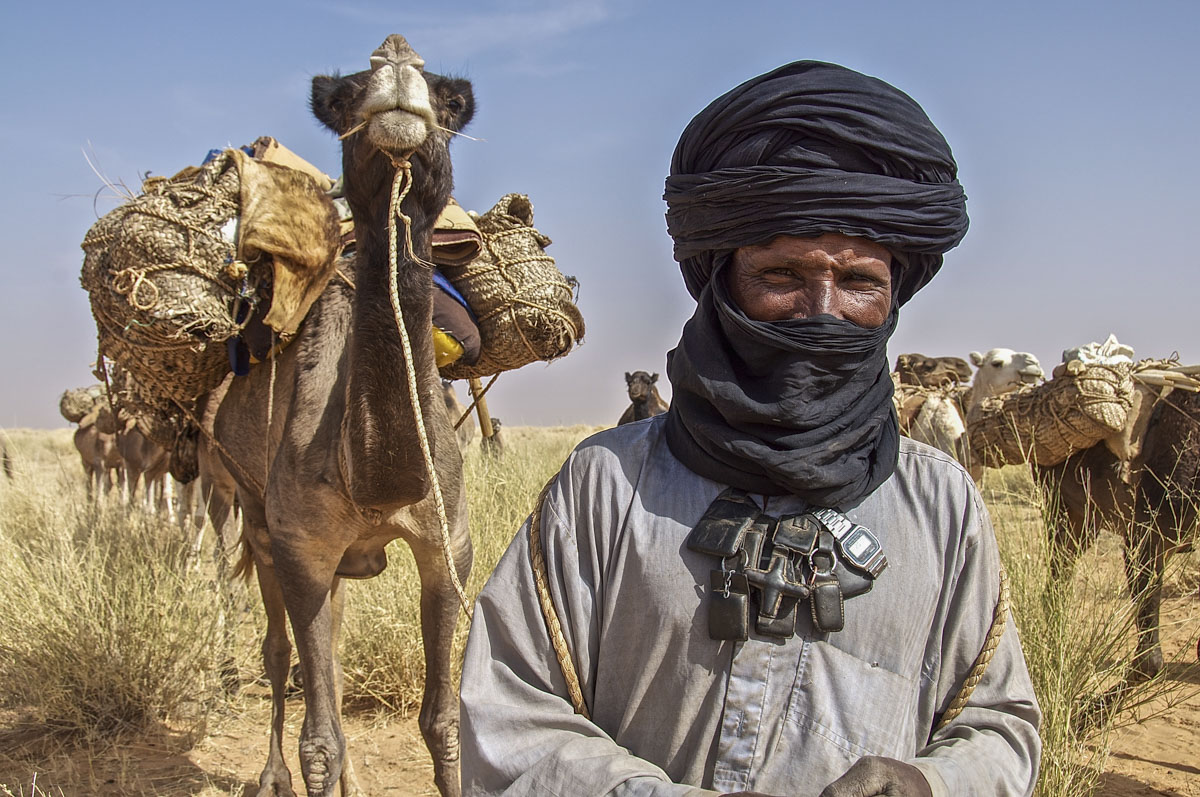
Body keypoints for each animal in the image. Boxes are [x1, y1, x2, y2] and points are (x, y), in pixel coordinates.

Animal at [213, 34, 475, 792]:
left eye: (451, 100)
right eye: (342, 98)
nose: (397, 58)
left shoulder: (450, 544)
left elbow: (443, 723)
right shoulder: (301, 544)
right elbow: (318, 739)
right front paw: (307, 765)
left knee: (324, 640)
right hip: (254, 510)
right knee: (281, 651)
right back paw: (271, 774)